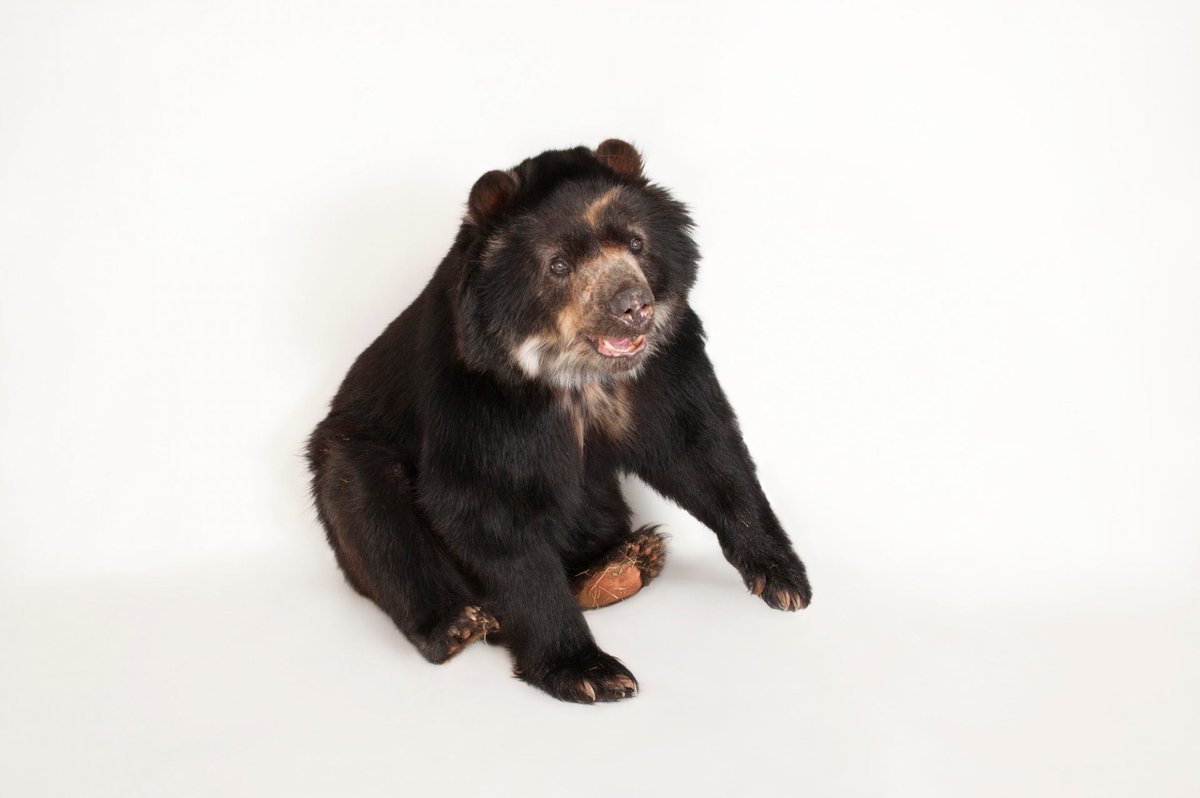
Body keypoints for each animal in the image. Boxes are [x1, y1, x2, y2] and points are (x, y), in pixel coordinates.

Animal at [306, 139, 811, 703]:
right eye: (559, 265)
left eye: (636, 243)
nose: (632, 306)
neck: (577, 375)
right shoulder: (475, 393)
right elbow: (486, 508)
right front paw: (591, 671)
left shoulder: (663, 364)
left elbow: (701, 448)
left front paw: (784, 580)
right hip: (350, 462)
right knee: (367, 501)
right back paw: (458, 624)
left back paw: (623, 563)